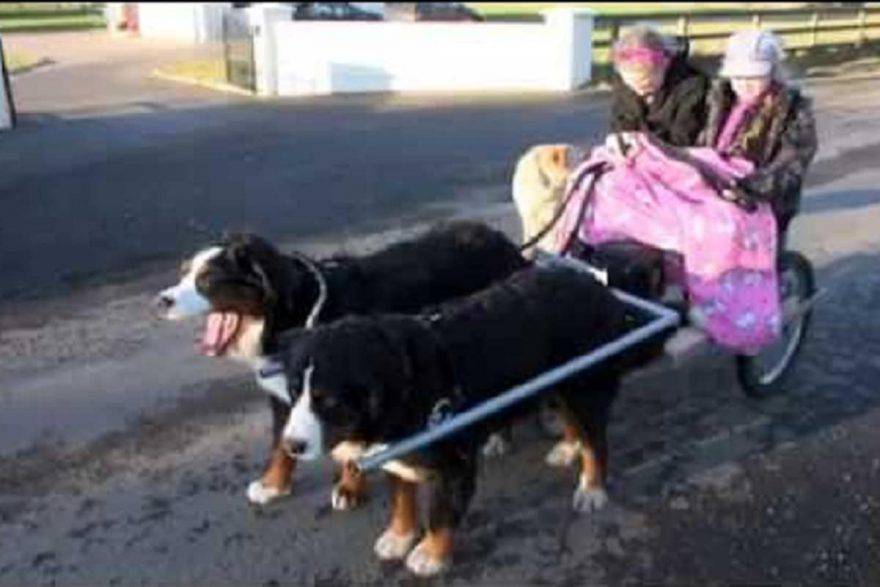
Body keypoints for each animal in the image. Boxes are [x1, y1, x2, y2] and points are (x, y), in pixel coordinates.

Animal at [156, 220, 528, 506]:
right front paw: (273, 484)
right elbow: (281, 446)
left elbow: (350, 449)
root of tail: (504, 241)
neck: (297, 317)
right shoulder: (287, 396)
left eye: (207, 279)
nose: (161, 301)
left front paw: (349, 489)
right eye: (184, 273)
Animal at [278, 266, 656, 580]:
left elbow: (440, 515)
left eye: (328, 400)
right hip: (559, 384)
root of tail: (596, 284)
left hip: (584, 387)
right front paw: (398, 537)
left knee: (595, 441)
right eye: (294, 391)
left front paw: (430, 555)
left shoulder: (453, 464)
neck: (406, 380)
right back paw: (566, 448)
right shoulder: (396, 453)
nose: (291, 445)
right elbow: (402, 499)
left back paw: (591, 488)